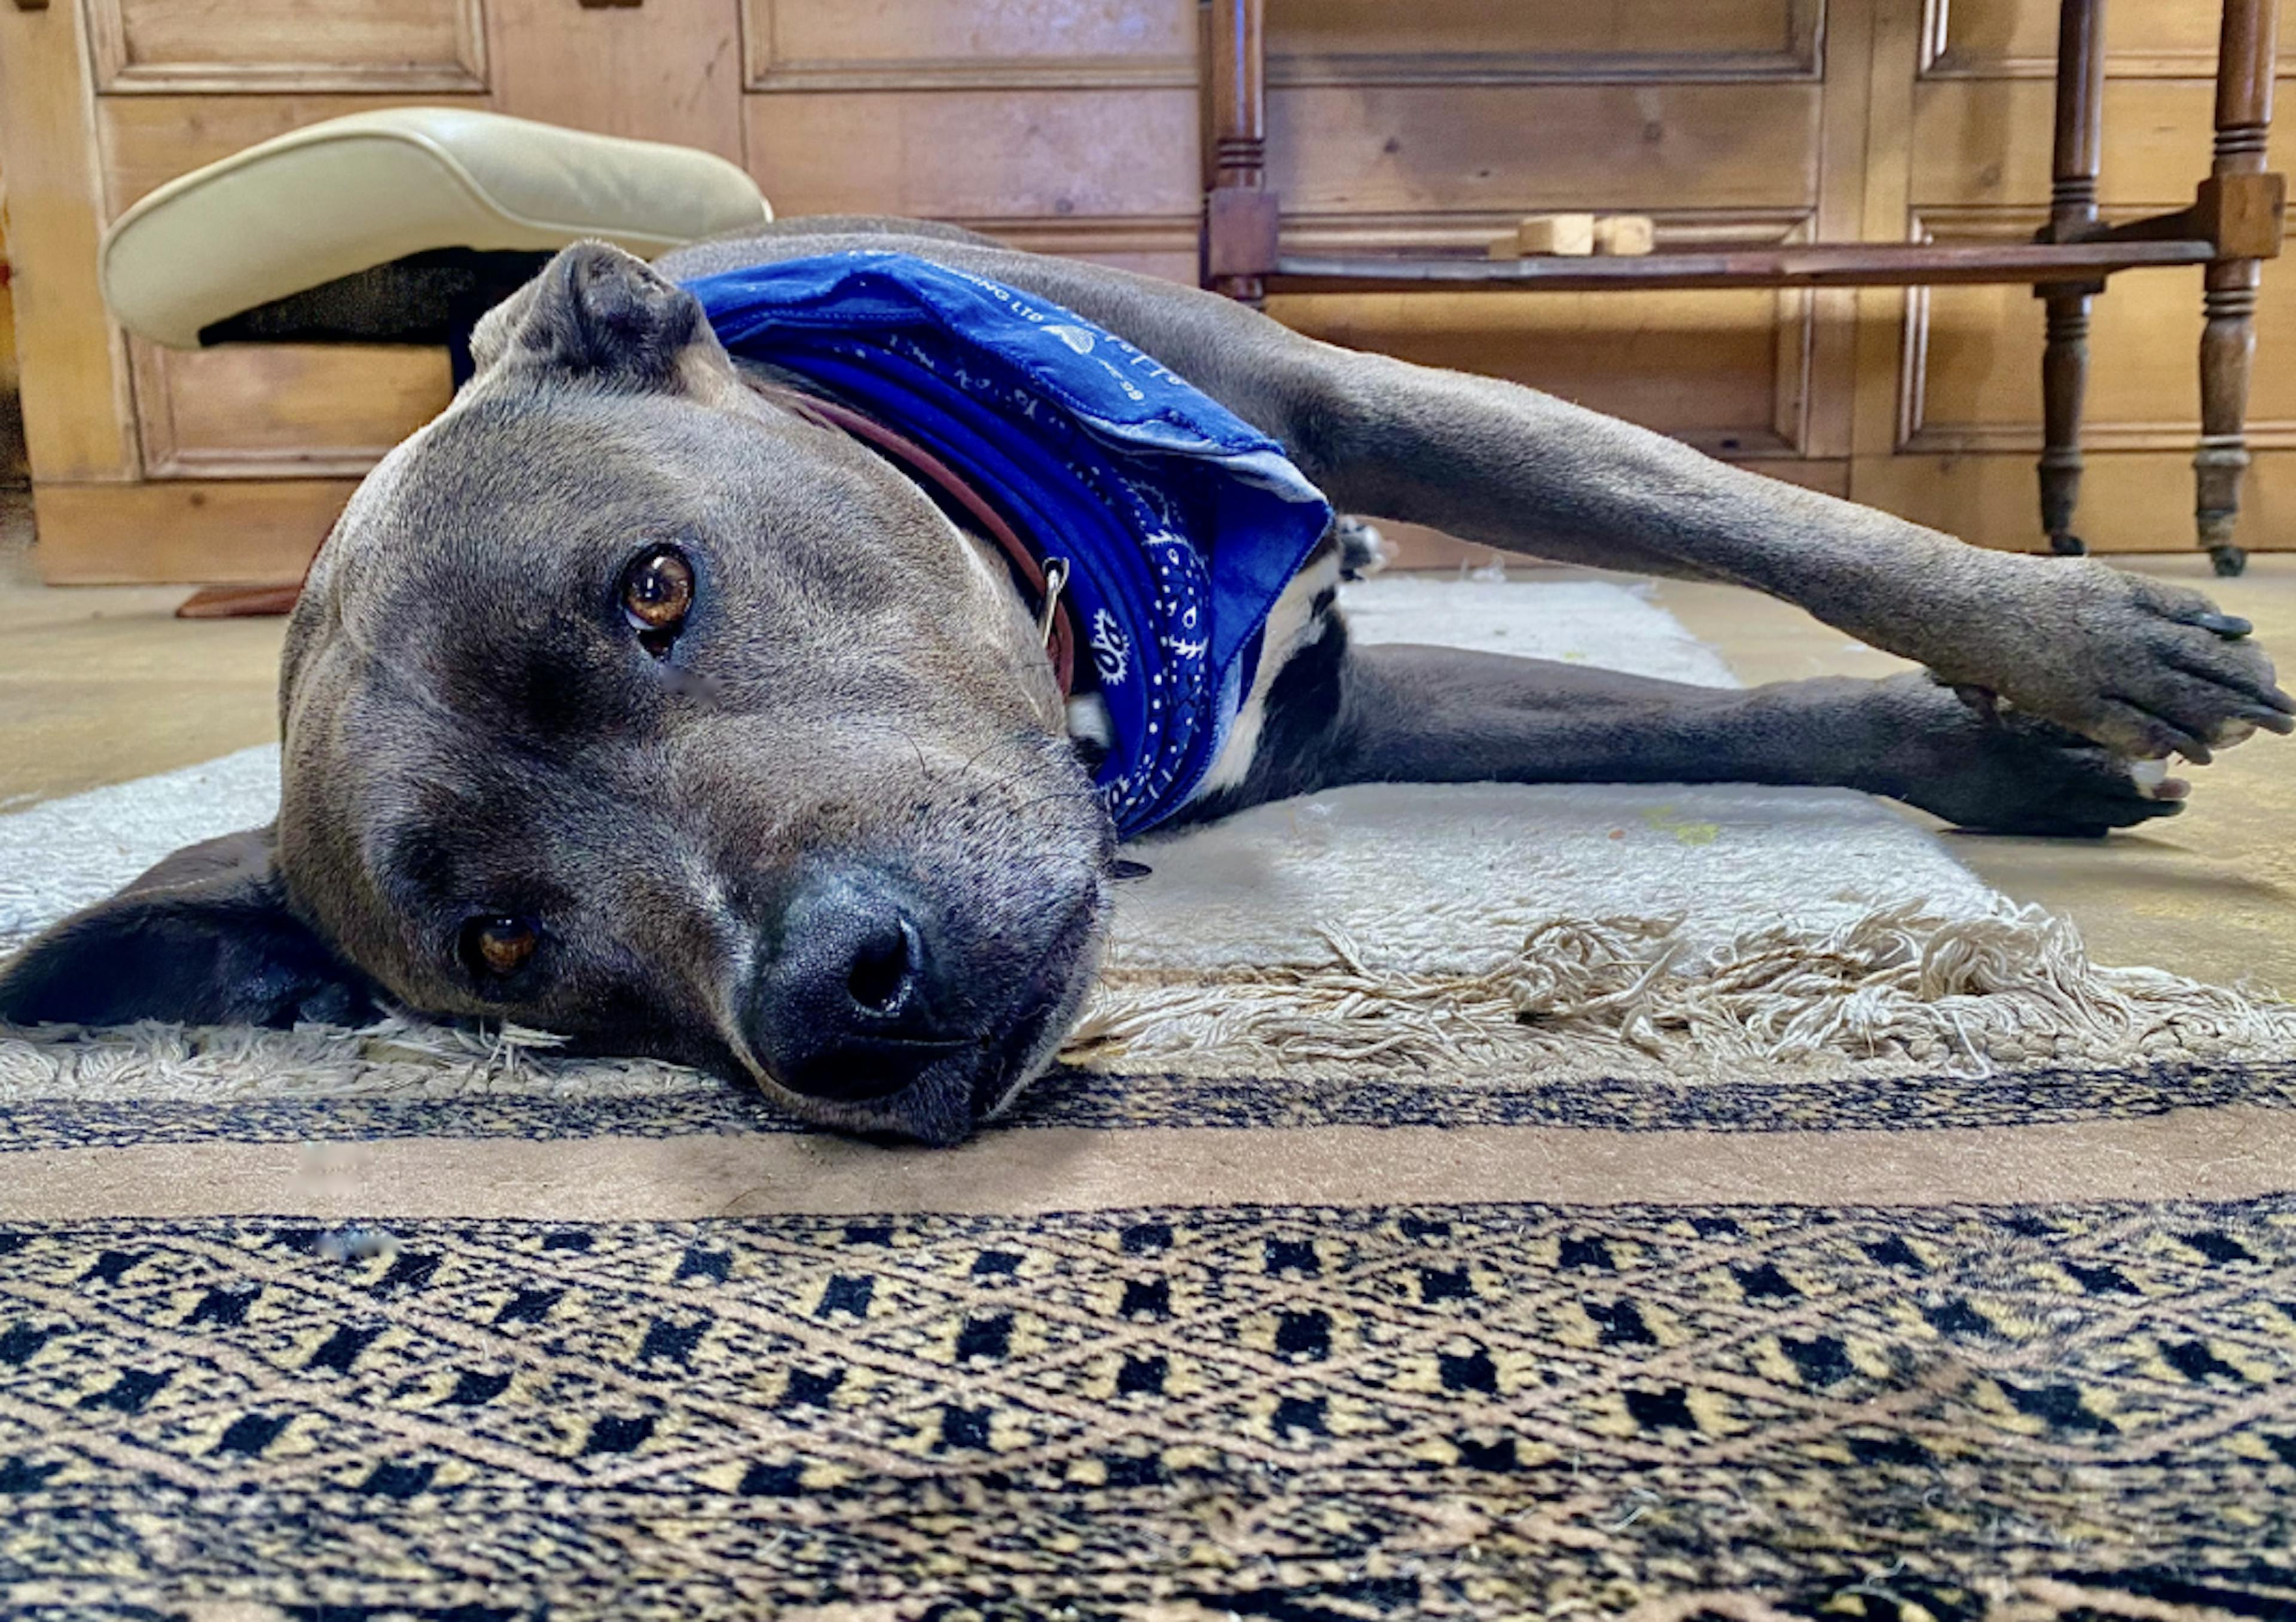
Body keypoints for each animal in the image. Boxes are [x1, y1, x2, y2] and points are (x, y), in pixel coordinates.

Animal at [9, 222, 2286, 1147]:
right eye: (502, 942)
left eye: (655, 586)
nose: (832, 997)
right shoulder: (1345, 719)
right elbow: (1723, 692)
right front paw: (2009, 747)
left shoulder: (1355, 426)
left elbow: (1758, 533)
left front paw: (2074, 645)